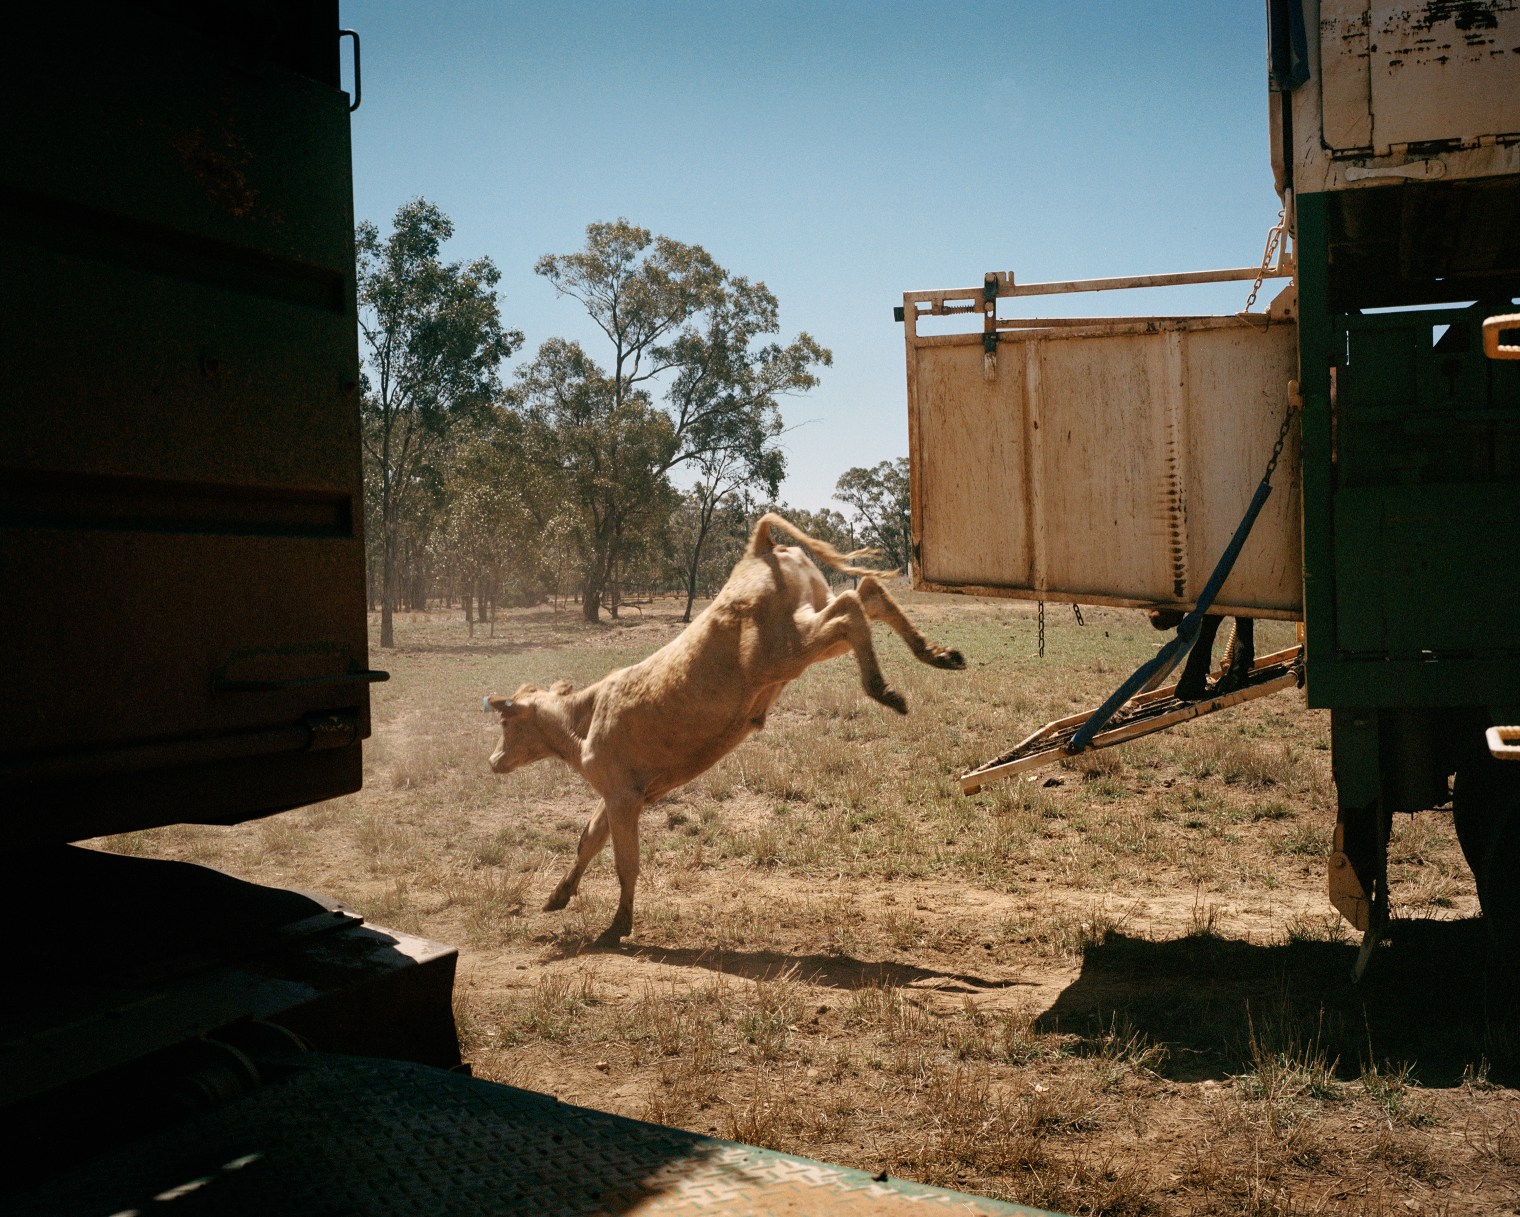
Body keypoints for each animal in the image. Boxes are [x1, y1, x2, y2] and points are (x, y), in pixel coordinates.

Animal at [486, 507, 960, 941]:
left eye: (506, 723)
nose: (492, 762)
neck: (585, 719)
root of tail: (757, 550)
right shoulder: (620, 794)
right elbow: (587, 841)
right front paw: (558, 896)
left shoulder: (622, 796)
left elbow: (625, 861)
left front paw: (618, 926)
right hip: (807, 631)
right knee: (866, 596)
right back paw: (938, 654)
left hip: (786, 649)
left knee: (851, 608)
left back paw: (885, 689)